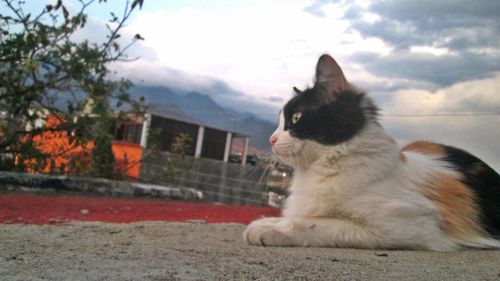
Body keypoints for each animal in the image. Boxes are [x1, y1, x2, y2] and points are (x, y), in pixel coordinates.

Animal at [244, 54, 500, 249]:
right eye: (279, 122)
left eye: (296, 118)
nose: (271, 139)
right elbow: (298, 216)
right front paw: (266, 222)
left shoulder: (404, 227)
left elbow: (317, 224)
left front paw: (274, 231)